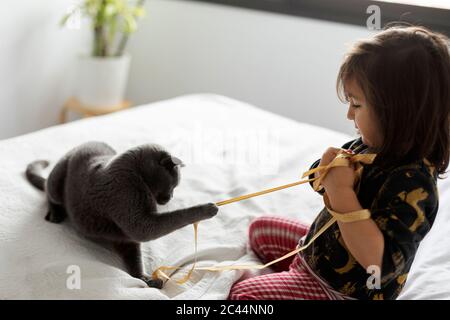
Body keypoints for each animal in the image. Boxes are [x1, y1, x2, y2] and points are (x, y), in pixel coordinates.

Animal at [25, 141, 219, 288]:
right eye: (174, 185)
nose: (170, 197)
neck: (138, 176)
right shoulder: (133, 210)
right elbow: (163, 221)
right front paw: (209, 208)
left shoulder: (129, 233)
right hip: (58, 179)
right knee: (48, 191)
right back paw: (55, 214)